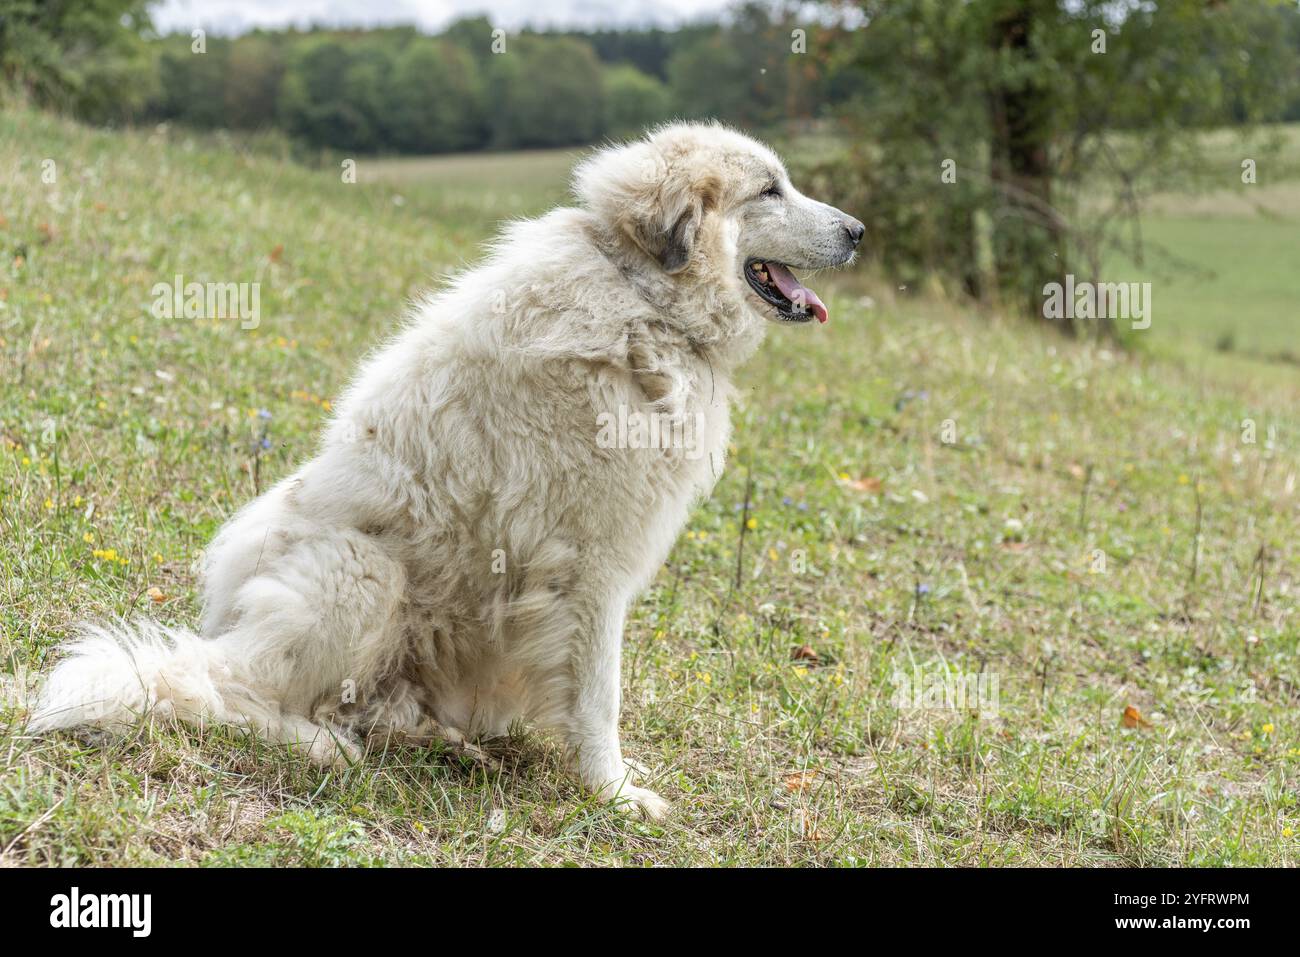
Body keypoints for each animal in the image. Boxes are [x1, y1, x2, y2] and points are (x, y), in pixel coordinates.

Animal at [30, 123, 863, 816]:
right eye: (770, 189)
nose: (859, 231)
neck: (643, 299)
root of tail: (221, 621)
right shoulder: (588, 570)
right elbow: (600, 695)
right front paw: (614, 793)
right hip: (362, 572)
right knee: (231, 691)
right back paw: (321, 743)